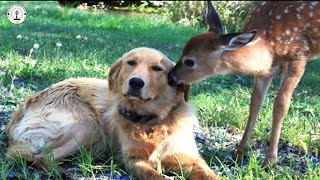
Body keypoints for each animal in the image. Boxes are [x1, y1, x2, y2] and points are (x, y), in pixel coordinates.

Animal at [6, 47, 218, 180]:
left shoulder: (191, 159)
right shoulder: (133, 160)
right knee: (41, 157)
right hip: (89, 126)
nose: (135, 82)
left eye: (157, 68)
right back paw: (64, 173)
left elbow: (210, 174)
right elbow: (155, 176)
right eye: (131, 62)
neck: (152, 121)